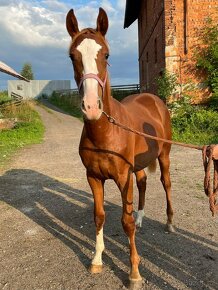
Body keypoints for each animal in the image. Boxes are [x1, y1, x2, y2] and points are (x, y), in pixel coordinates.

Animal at [65, 7, 175, 288]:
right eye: (72, 56)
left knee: (166, 184)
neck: (106, 132)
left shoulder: (123, 177)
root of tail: (154, 99)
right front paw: (96, 260)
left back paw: (169, 222)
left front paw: (134, 272)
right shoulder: (94, 177)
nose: (91, 107)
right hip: (138, 166)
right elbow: (99, 216)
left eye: (106, 54)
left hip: (164, 156)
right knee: (144, 182)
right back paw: (141, 217)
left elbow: (125, 222)